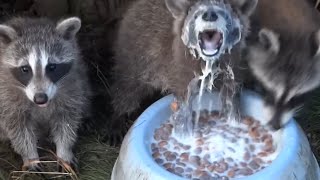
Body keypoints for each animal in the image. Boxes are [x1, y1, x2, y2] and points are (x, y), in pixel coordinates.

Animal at [0, 16, 90, 170]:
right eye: (25, 69)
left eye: (52, 67)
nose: (40, 98)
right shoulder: (6, 96)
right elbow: (19, 130)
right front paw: (31, 158)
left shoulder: (73, 86)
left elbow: (66, 124)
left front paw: (64, 153)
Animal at [106, 0, 258, 144]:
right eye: (194, 11)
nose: (209, 15)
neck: (210, 60)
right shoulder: (182, 71)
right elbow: (183, 105)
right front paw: (184, 135)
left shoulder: (233, 67)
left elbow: (231, 97)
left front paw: (234, 123)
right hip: (134, 57)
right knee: (127, 90)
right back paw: (117, 116)